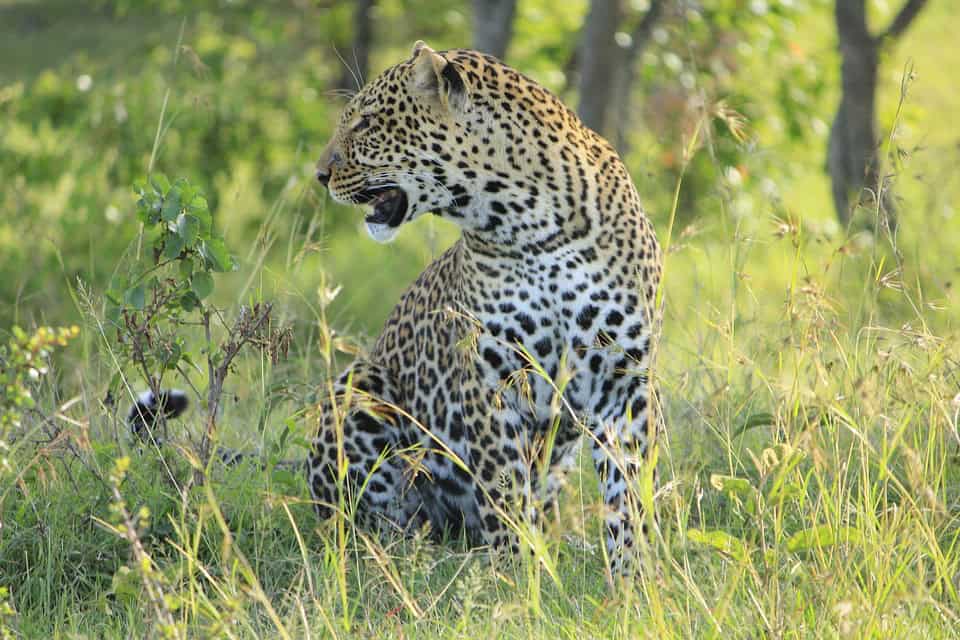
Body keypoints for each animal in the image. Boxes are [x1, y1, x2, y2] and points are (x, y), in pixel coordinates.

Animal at [310, 40, 663, 575]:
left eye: (366, 122)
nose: (320, 175)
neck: (531, 225)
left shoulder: (623, 377)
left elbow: (629, 490)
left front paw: (634, 576)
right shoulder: (491, 378)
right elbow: (505, 491)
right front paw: (519, 576)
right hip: (358, 389)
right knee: (368, 518)